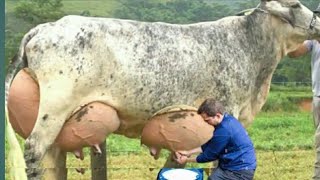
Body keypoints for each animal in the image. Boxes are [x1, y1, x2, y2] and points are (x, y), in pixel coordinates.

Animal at [5, 0, 320, 179]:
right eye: (295, 4)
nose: (318, 19)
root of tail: (46, 27)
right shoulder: (225, 110)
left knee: (52, 158)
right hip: (54, 108)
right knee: (34, 151)